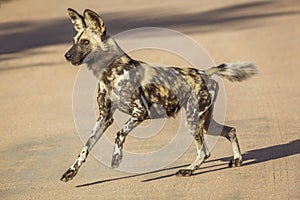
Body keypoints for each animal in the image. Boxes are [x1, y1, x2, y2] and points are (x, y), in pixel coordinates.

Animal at [59, 8, 256, 182]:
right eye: (75, 40)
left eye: (85, 42)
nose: (66, 55)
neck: (110, 72)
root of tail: (205, 73)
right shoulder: (104, 117)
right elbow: (86, 147)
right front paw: (71, 172)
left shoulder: (140, 113)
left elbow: (119, 133)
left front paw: (116, 159)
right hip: (205, 123)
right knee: (230, 131)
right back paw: (237, 160)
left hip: (193, 121)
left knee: (204, 152)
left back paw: (188, 170)